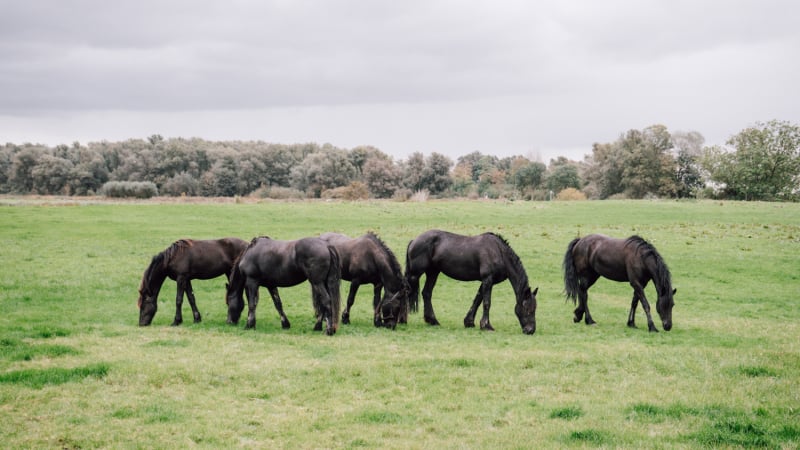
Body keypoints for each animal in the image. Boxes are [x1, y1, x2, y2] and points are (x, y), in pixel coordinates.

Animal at [406, 229, 536, 334]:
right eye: (528, 309)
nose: (530, 330)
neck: (498, 252)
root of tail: (414, 240)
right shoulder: (487, 279)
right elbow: (486, 303)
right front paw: (486, 325)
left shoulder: (487, 281)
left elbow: (478, 300)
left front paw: (469, 322)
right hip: (415, 275)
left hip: (433, 272)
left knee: (426, 293)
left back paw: (432, 320)